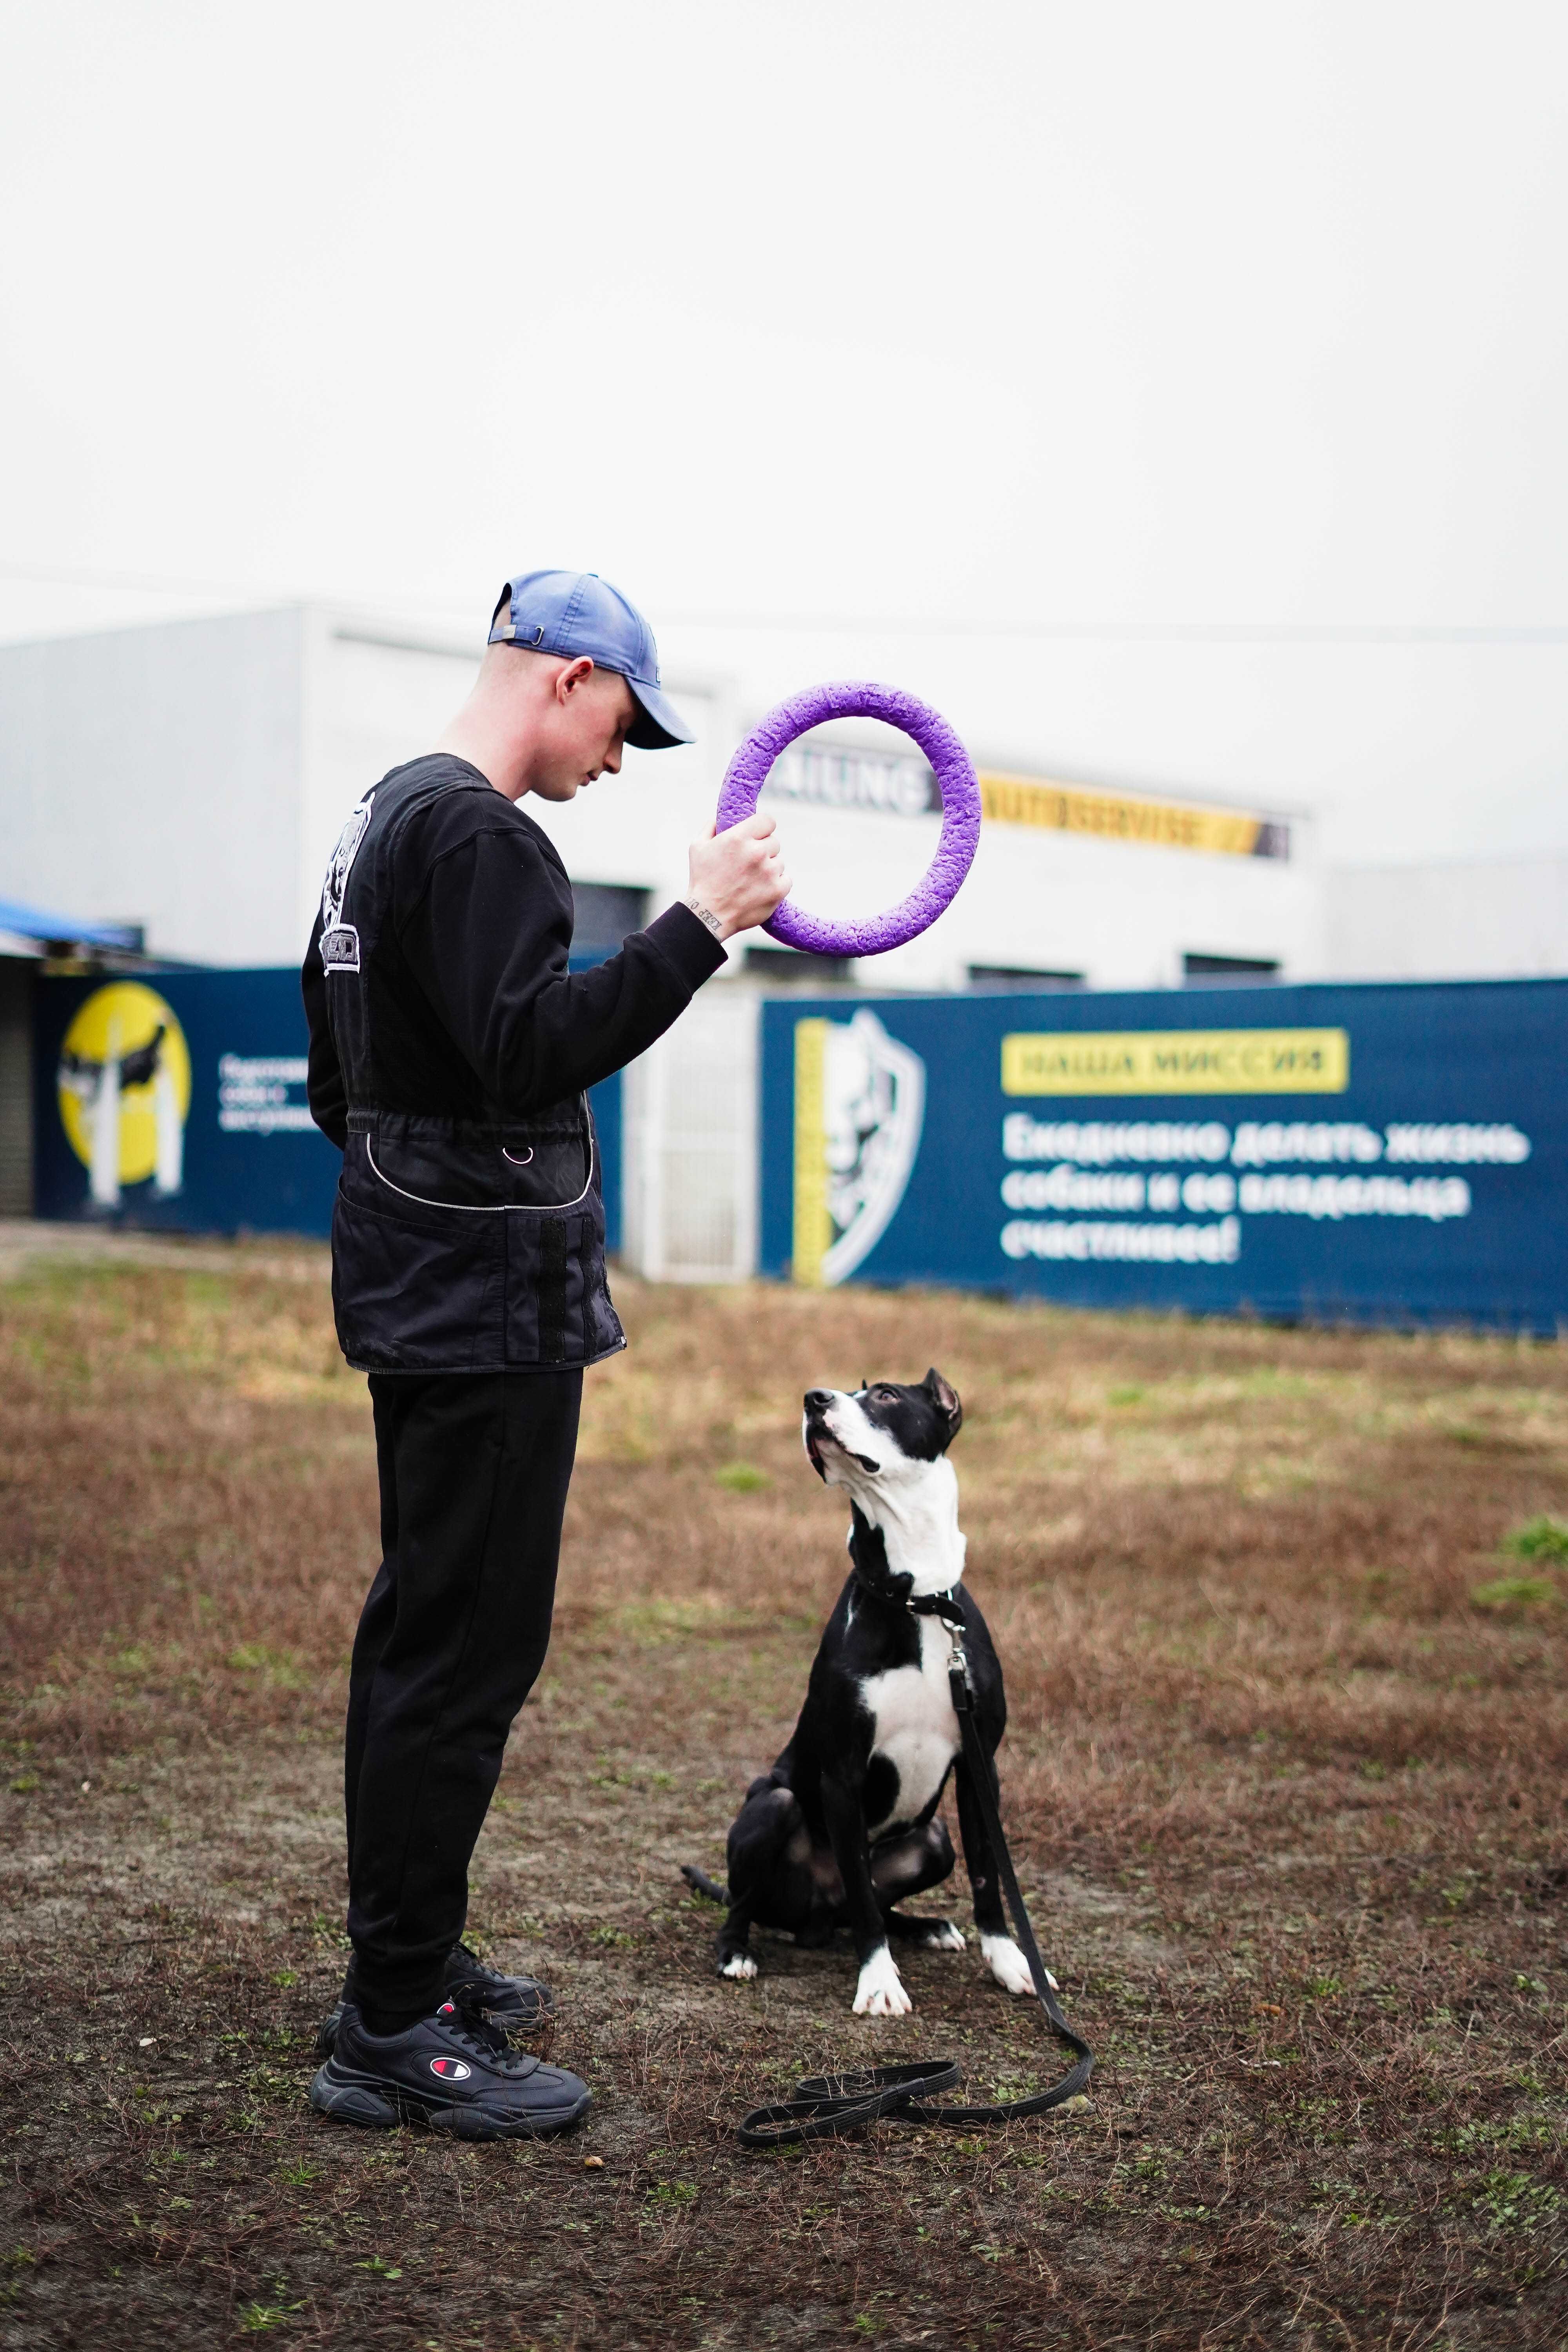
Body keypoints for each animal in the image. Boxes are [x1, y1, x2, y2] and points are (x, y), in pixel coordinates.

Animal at [686, 1374, 1044, 2023]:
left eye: (884, 1395)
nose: (813, 1399)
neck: (918, 1600)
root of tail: (816, 1918)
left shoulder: (980, 1768)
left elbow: (988, 1877)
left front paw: (1011, 1962)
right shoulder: (842, 1774)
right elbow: (861, 1890)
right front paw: (879, 1982)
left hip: (934, 1841)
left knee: (874, 1902)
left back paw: (926, 1927)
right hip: (773, 1806)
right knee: (760, 1902)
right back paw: (736, 1951)